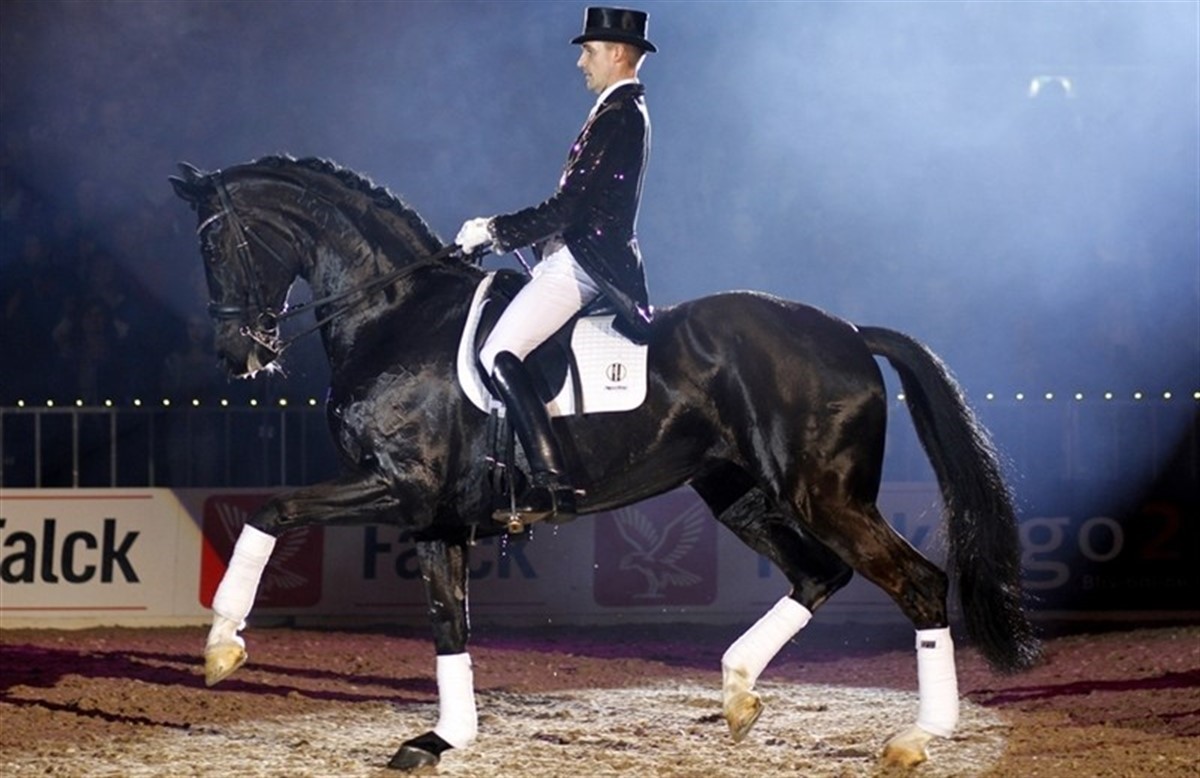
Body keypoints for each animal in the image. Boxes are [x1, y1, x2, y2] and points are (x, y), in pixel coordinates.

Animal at [170, 155, 1039, 772]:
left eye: (213, 242)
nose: (237, 354)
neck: (399, 313)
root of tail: (852, 332)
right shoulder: (437, 517)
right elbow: (449, 624)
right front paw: (444, 738)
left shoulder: (400, 488)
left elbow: (269, 513)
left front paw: (222, 647)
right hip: (739, 493)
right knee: (819, 575)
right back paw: (737, 694)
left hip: (823, 493)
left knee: (917, 582)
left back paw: (915, 738)